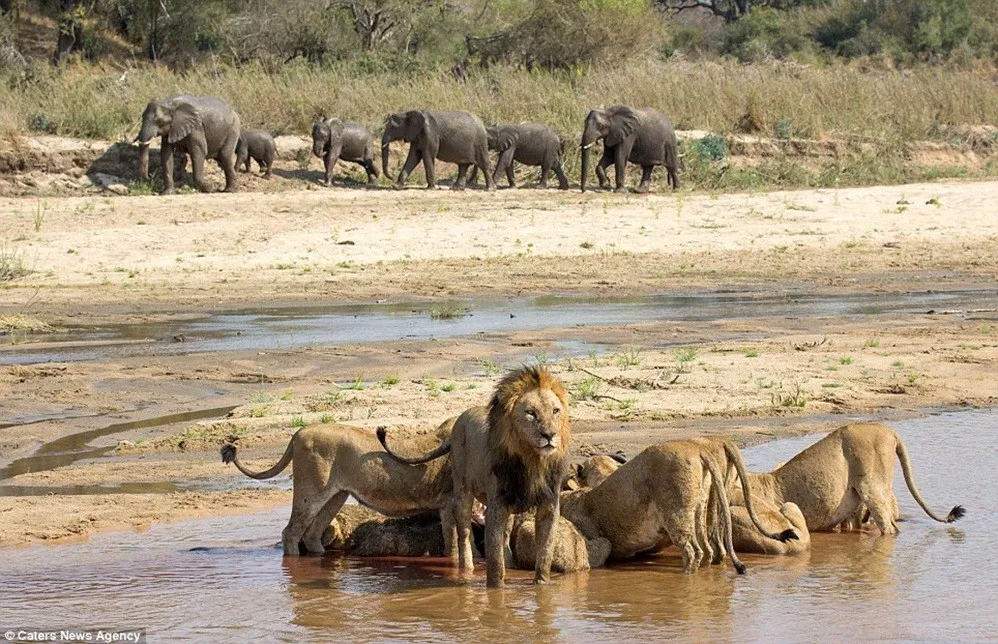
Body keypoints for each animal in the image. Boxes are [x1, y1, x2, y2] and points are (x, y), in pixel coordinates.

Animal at [221, 418, 458, 552]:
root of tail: (299, 433)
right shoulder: (450, 502)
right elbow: (456, 544)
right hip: (310, 493)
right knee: (291, 533)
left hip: (336, 496)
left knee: (312, 534)